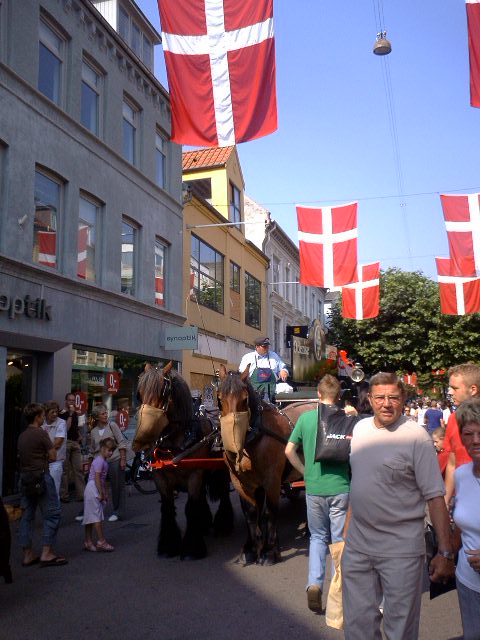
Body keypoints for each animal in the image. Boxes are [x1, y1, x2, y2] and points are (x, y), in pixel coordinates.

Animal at [136, 364, 233, 560]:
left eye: (162, 392)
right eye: (139, 393)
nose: (142, 441)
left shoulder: (194, 474)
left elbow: (190, 507)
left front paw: (192, 548)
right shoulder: (160, 477)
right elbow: (167, 508)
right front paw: (168, 545)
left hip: (222, 469)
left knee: (224, 492)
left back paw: (223, 524)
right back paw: (204, 523)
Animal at [218, 364, 300, 564]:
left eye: (244, 399)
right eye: (219, 398)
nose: (233, 450)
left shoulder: (272, 480)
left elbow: (270, 512)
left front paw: (270, 550)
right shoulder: (241, 481)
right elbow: (250, 511)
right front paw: (252, 547)